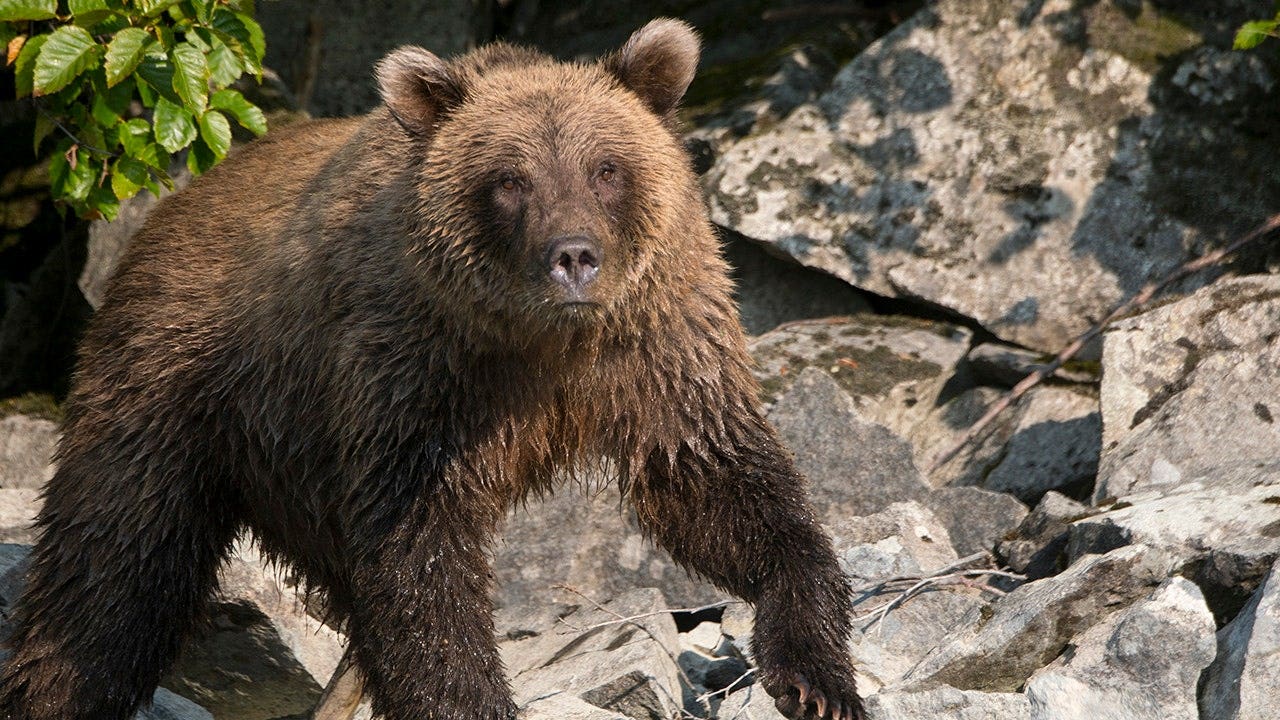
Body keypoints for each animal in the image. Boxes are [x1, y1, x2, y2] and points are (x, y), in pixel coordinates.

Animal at [0, 19, 862, 720]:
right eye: (510, 179)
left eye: (606, 168)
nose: (573, 256)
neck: (543, 343)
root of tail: (176, 204)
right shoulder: (416, 372)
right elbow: (421, 562)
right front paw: (469, 696)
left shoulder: (656, 345)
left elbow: (715, 481)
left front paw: (815, 678)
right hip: (177, 380)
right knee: (114, 567)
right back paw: (61, 683)